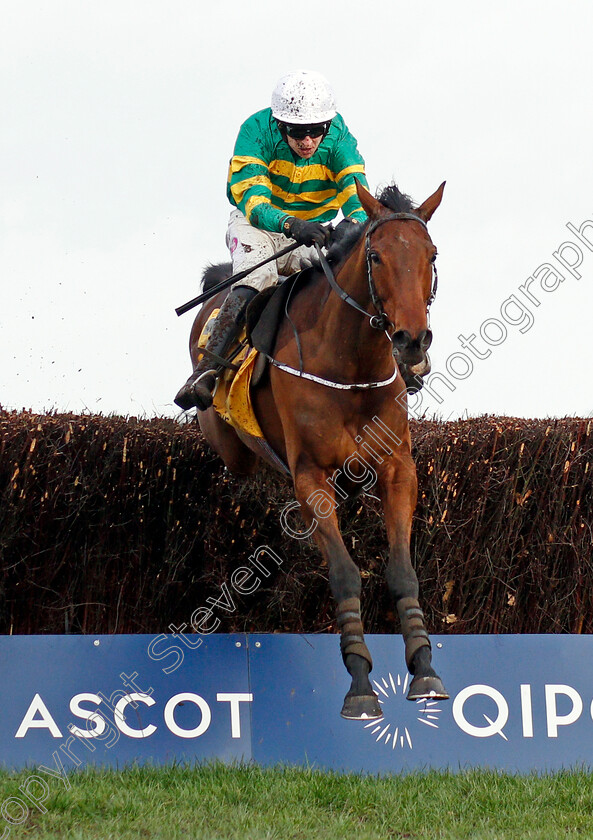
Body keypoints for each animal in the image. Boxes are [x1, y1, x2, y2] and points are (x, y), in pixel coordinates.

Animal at [187, 180, 446, 720]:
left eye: (431, 254)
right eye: (375, 255)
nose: (412, 341)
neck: (351, 364)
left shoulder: (397, 469)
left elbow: (402, 572)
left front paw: (424, 667)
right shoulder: (311, 475)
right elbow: (345, 574)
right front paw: (360, 682)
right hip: (229, 444)